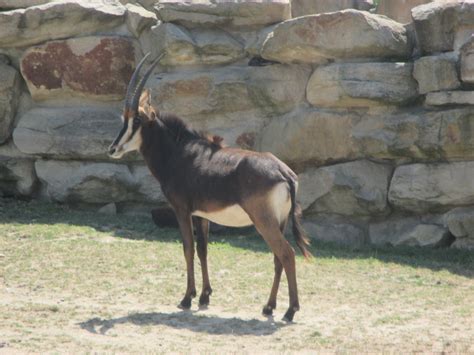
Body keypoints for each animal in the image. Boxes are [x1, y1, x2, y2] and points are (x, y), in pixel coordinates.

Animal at [109, 52, 312, 322]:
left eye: (138, 120)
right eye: (124, 118)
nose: (113, 149)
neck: (179, 152)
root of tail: (285, 173)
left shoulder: (182, 210)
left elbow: (188, 248)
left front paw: (186, 298)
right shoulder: (201, 215)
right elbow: (203, 250)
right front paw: (204, 296)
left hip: (263, 220)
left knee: (286, 253)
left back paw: (290, 311)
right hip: (278, 221)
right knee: (278, 257)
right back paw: (269, 307)